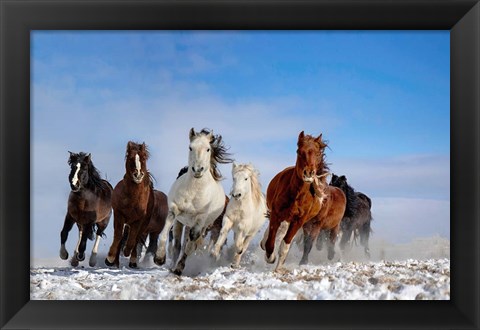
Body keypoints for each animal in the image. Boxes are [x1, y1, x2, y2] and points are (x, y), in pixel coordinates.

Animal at [155, 127, 233, 274]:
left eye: (208, 149)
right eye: (190, 147)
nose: (197, 170)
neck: (194, 191)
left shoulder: (199, 222)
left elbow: (190, 245)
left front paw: (180, 268)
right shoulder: (174, 210)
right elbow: (164, 233)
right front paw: (159, 258)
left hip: (201, 226)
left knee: (188, 243)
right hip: (182, 222)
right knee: (177, 245)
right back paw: (172, 265)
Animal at [260, 131, 332, 270]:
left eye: (318, 153)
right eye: (299, 151)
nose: (308, 173)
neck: (297, 196)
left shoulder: (299, 221)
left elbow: (285, 244)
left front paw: (278, 267)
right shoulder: (276, 214)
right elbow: (271, 241)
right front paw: (270, 257)